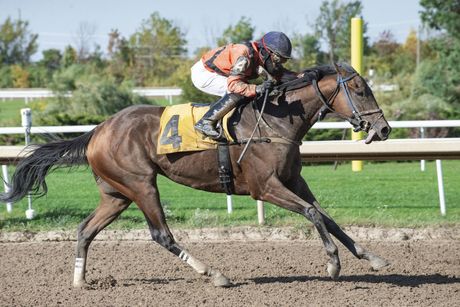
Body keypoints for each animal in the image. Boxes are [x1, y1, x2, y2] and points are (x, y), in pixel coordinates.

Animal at [1, 63, 394, 288]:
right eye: (360, 89)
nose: (384, 129)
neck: (277, 120)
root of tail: (97, 130)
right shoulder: (264, 187)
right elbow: (313, 214)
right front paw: (333, 264)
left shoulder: (294, 181)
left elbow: (328, 217)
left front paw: (372, 257)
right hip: (141, 184)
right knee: (161, 234)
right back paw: (215, 274)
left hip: (116, 194)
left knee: (85, 230)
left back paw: (80, 282)